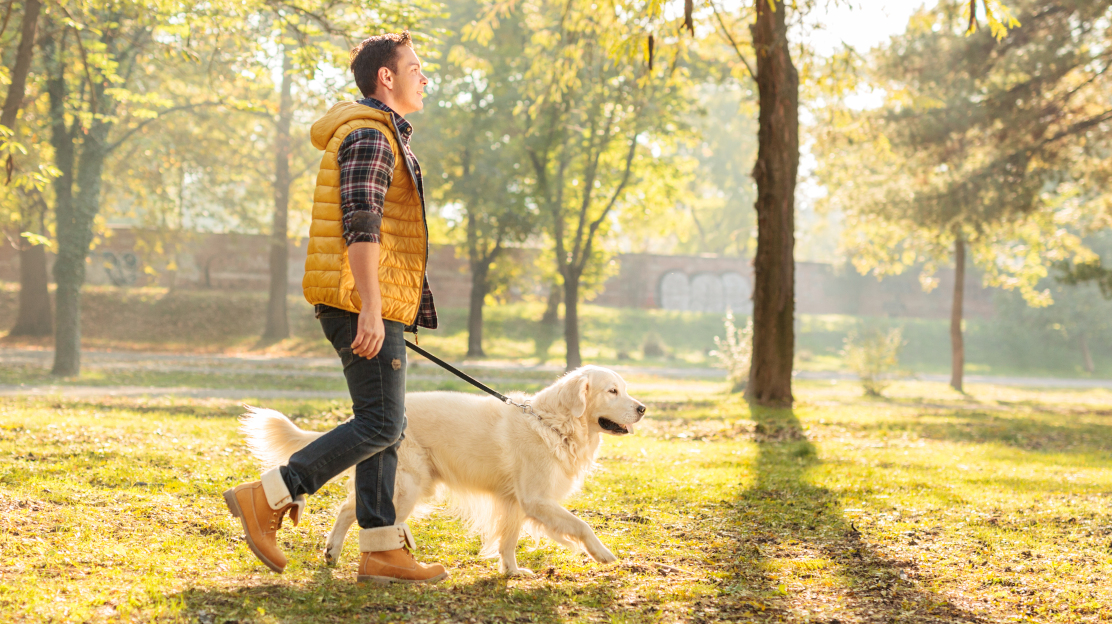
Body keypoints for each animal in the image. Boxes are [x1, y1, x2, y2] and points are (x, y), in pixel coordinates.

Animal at [239, 364, 649, 573]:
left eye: (625, 389)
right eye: (612, 391)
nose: (643, 408)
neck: (553, 423)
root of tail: (369, 419)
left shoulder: (516, 502)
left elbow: (508, 541)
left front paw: (512, 572)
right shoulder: (536, 499)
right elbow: (581, 525)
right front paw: (602, 553)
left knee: (349, 509)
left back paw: (333, 553)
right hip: (410, 486)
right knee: (356, 513)